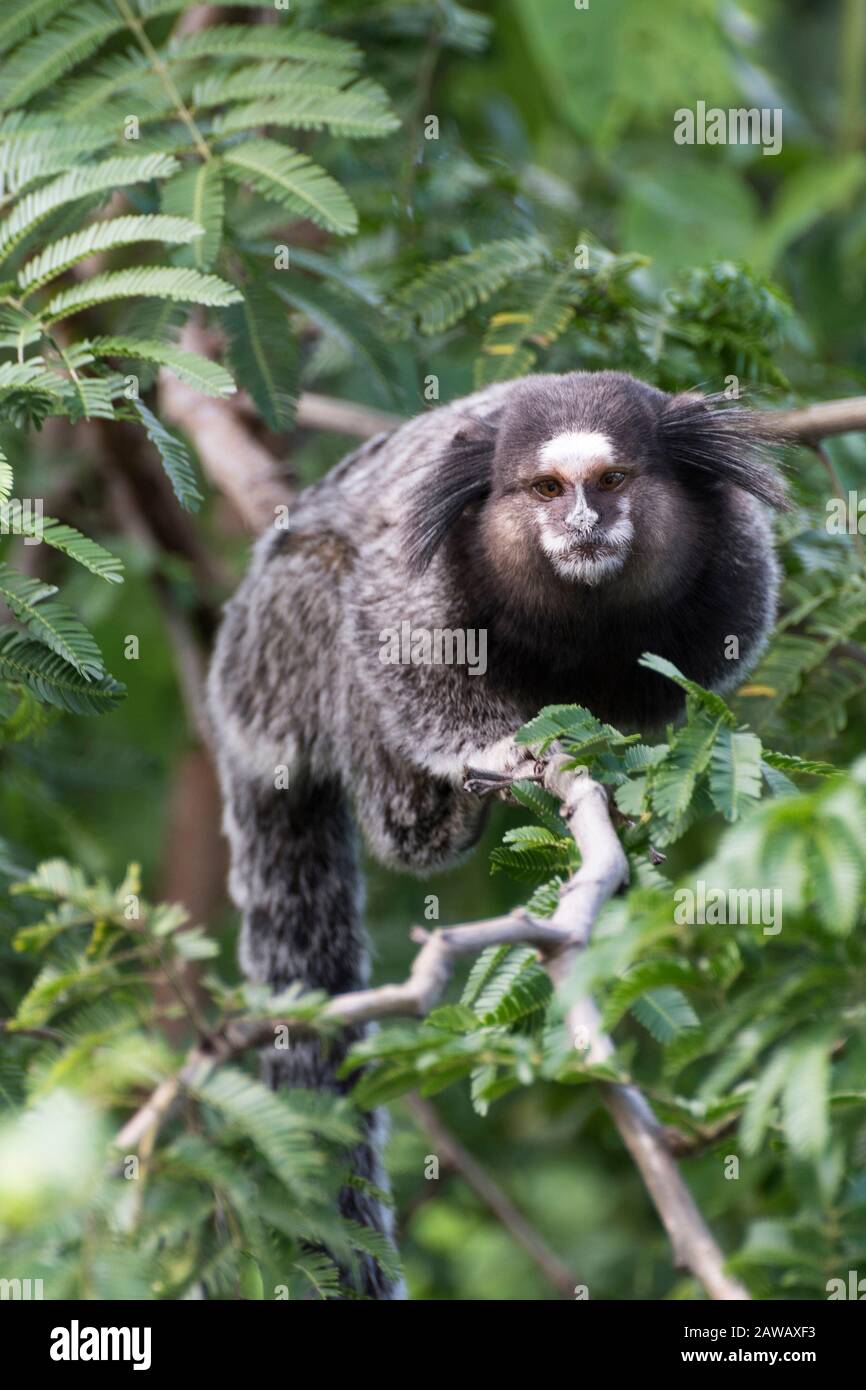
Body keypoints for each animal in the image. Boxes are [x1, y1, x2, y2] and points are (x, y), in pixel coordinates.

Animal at [208, 369, 787, 1299]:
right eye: (547, 489)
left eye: (612, 480)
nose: (583, 522)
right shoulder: (416, 578)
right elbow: (398, 651)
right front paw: (502, 749)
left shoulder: (731, 572)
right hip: (276, 650)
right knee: (333, 597)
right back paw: (425, 820)